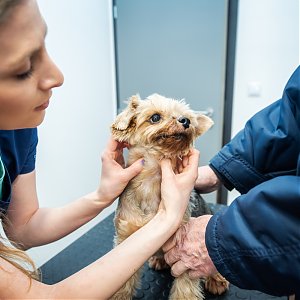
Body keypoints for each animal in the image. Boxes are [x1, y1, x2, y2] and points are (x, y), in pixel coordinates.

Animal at [110, 94, 227, 300]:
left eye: (186, 116)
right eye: (155, 117)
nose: (186, 121)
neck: (151, 183)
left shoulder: (185, 249)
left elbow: (185, 291)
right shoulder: (125, 239)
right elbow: (122, 285)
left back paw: (217, 279)